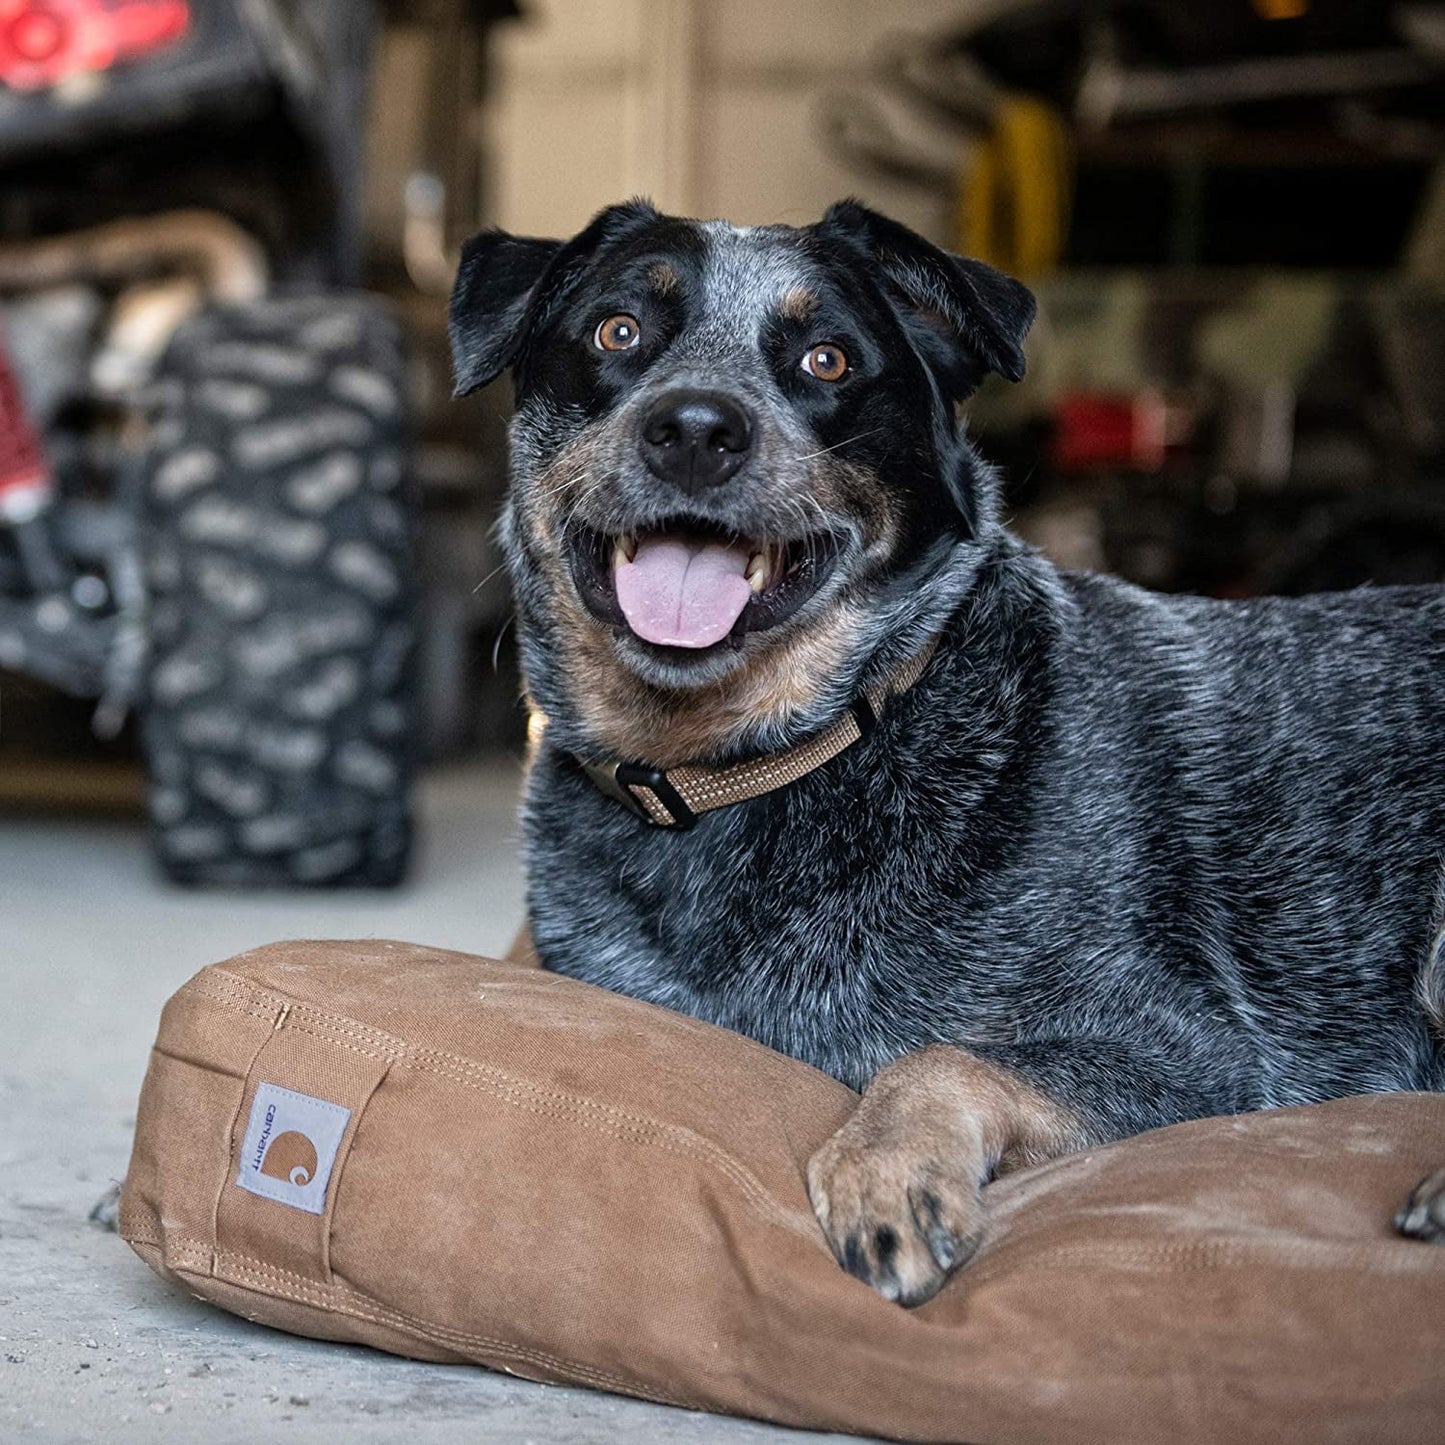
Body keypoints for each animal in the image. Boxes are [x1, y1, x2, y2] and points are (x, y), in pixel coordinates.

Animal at [447, 200, 1445, 1312]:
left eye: (828, 358)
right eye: (617, 331)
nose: (697, 428)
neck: (765, 762)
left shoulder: (1199, 1056)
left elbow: (938, 1056)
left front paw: (887, 1171)